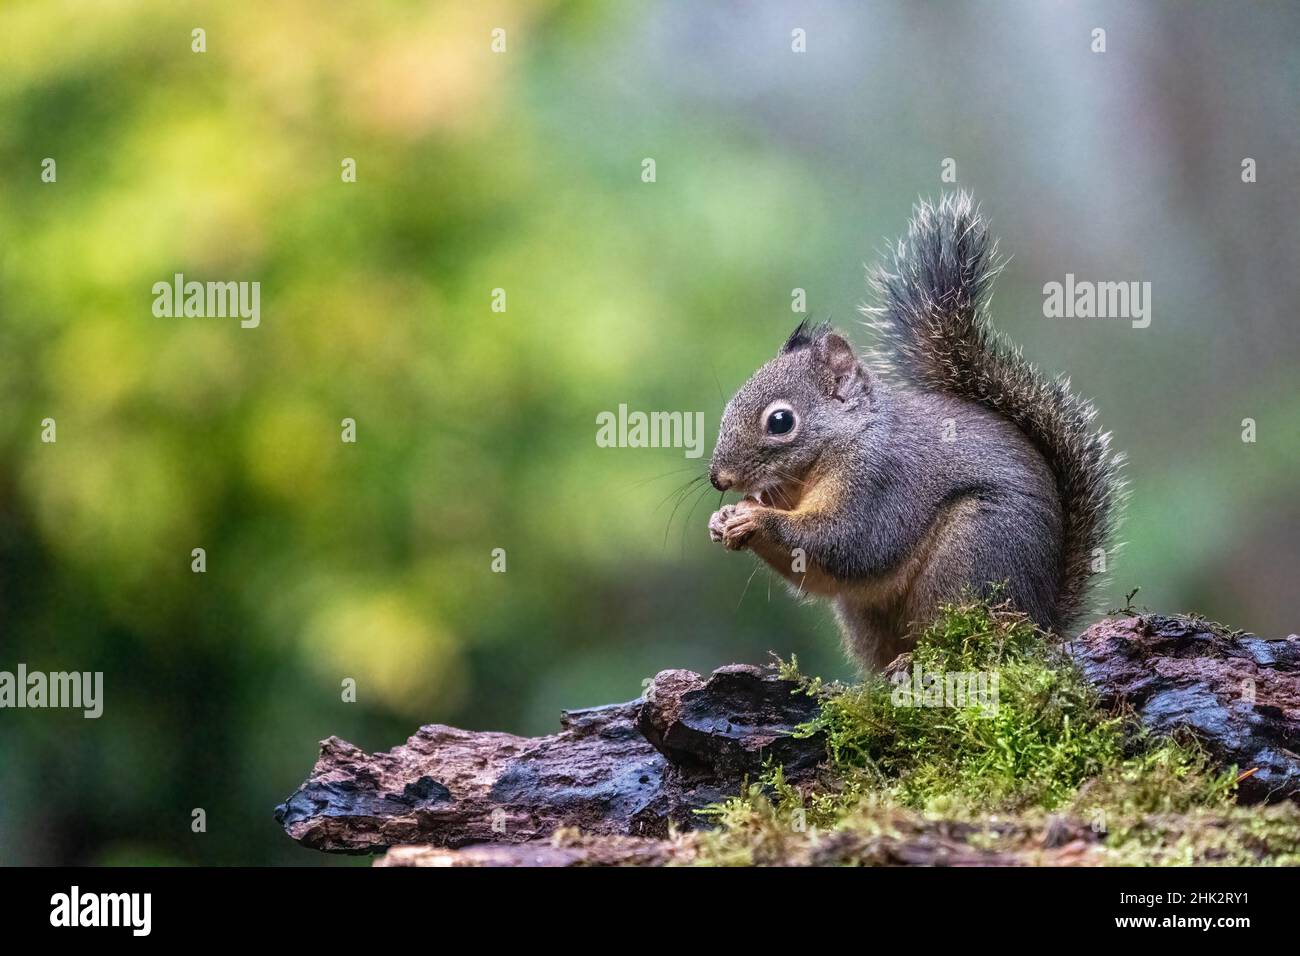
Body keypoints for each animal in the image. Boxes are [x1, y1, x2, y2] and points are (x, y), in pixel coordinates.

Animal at [707, 192, 1124, 671]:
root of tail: (1042, 622)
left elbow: (848, 542)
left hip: (971, 555)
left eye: (780, 421)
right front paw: (722, 520)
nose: (718, 479)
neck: (843, 441)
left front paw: (752, 517)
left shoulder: (881, 480)